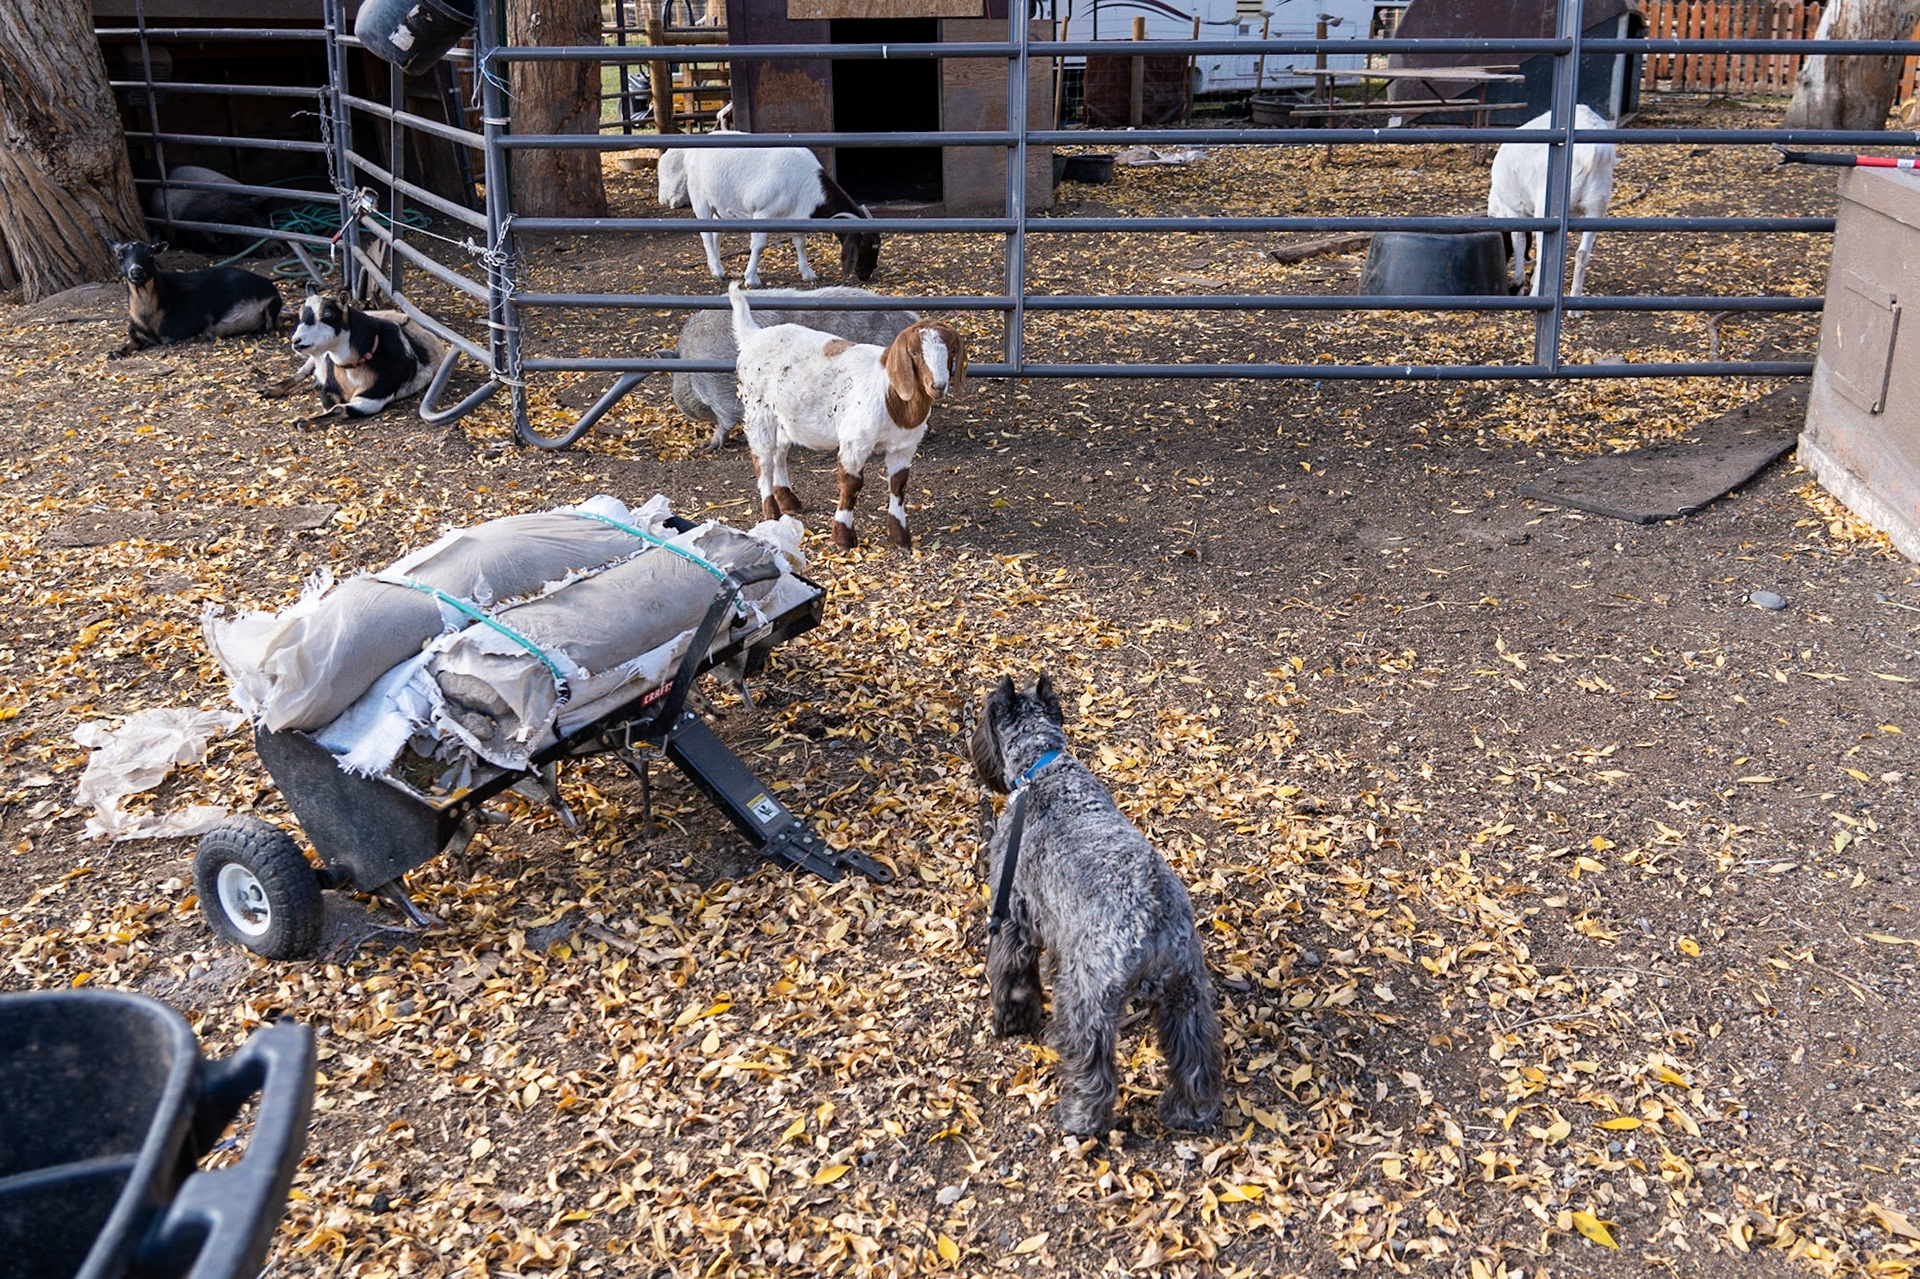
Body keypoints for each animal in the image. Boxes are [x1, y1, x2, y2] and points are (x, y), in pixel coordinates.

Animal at [109, 240, 283, 359]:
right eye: (120, 256)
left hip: (271, 304)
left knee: (271, 327)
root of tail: (268, 284)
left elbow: (169, 339)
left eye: (150, 255)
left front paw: (205, 335)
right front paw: (116, 353)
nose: (136, 271)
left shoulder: (194, 322)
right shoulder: (137, 332)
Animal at [666, 144, 880, 288]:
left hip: (721, 203)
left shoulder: (797, 216)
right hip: (699, 197)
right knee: (706, 235)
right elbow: (759, 245)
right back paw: (717, 272)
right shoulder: (763, 212)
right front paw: (751, 278)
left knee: (717, 233)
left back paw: (717, 265)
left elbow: (800, 243)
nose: (866, 274)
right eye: (864, 246)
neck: (808, 183)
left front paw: (807, 273)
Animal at [729, 283, 964, 550]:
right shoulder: (855, 442)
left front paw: (900, 536)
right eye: (914, 353)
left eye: (952, 350)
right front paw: (843, 536)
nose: (938, 386)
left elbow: (899, 484)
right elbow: (851, 484)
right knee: (762, 458)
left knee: (779, 451)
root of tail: (753, 336)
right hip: (757, 410)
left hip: (784, 416)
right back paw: (772, 512)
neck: (889, 393)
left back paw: (788, 500)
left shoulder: (904, 445)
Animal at [1487, 104, 1619, 299]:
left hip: (1548, 208)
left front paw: (1518, 283)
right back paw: (1575, 299)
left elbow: (1519, 240)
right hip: (1597, 205)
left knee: (1545, 254)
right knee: (1582, 253)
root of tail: (1592, 152)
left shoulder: (1514, 209)